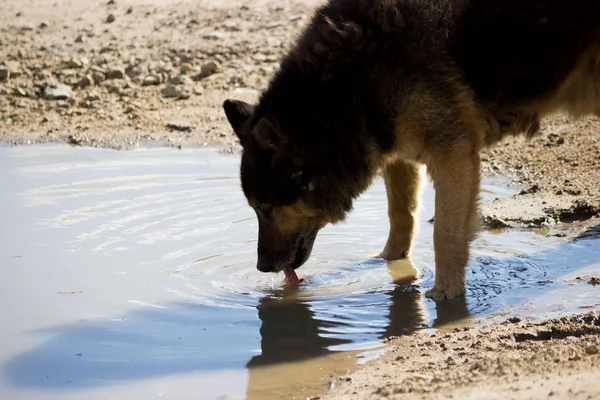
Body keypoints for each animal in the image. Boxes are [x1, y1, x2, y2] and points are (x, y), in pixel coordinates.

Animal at [223, 0, 600, 300]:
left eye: (267, 208)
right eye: (256, 209)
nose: (261, 267)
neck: (348, 90)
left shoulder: (453, 154)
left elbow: (445, 233)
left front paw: (446, 295)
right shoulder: (396, 152)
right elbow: (401, 214)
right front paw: (390, 261)